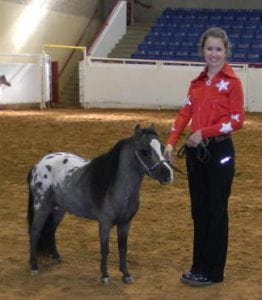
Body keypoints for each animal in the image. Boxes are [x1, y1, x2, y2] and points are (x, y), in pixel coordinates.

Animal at [27, 124, 173, 284]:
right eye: (144, 151)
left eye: (162, 147)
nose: (168, 174)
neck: (114, 185)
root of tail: (37, 166)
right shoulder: (105, 223)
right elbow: (105, 248)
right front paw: (105, 276)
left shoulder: (126, 222)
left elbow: (123, 248)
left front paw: (126, 274)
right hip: (42, 207)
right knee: (35, 232)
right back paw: (34, 267)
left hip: (58, 209)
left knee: (51, 230)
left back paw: (56, 258)